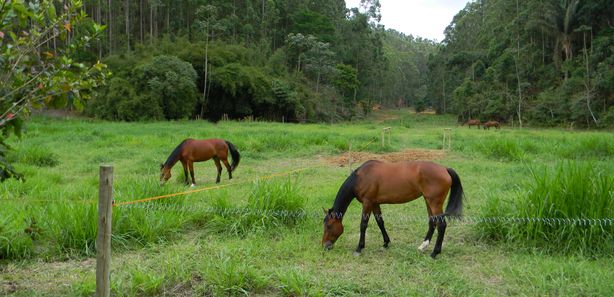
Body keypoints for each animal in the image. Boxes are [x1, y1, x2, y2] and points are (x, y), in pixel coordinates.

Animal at [324, 160, 464, 256]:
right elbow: (380, 222)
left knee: (441, 225)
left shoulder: (367, 203)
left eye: (329, 226)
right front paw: (386, 242)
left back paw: (435, 252)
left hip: (434, 203)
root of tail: (445, 169)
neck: (361, 177)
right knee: (432, 222)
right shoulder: (374, 203)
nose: (325, 246)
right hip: (428, 201)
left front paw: (359, 248)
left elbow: (363, 225)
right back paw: (423, 246)